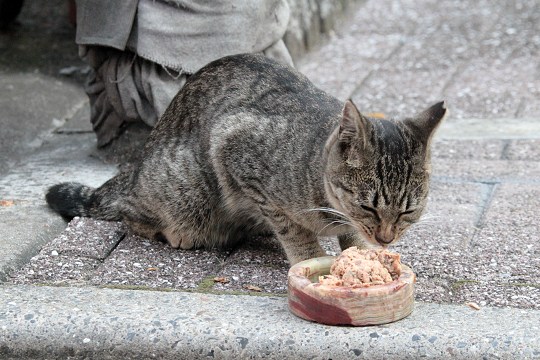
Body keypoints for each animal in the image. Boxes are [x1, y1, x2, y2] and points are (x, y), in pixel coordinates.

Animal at [48, 54, 448, 266]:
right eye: (369, 207)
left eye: (408, 211)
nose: (386, 238)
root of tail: (133, 171)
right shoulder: (235, 148)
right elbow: (293, 228)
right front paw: (309, 257)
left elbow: (349, 235)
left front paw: (363, 252)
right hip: (186, 189)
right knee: (131, 215)